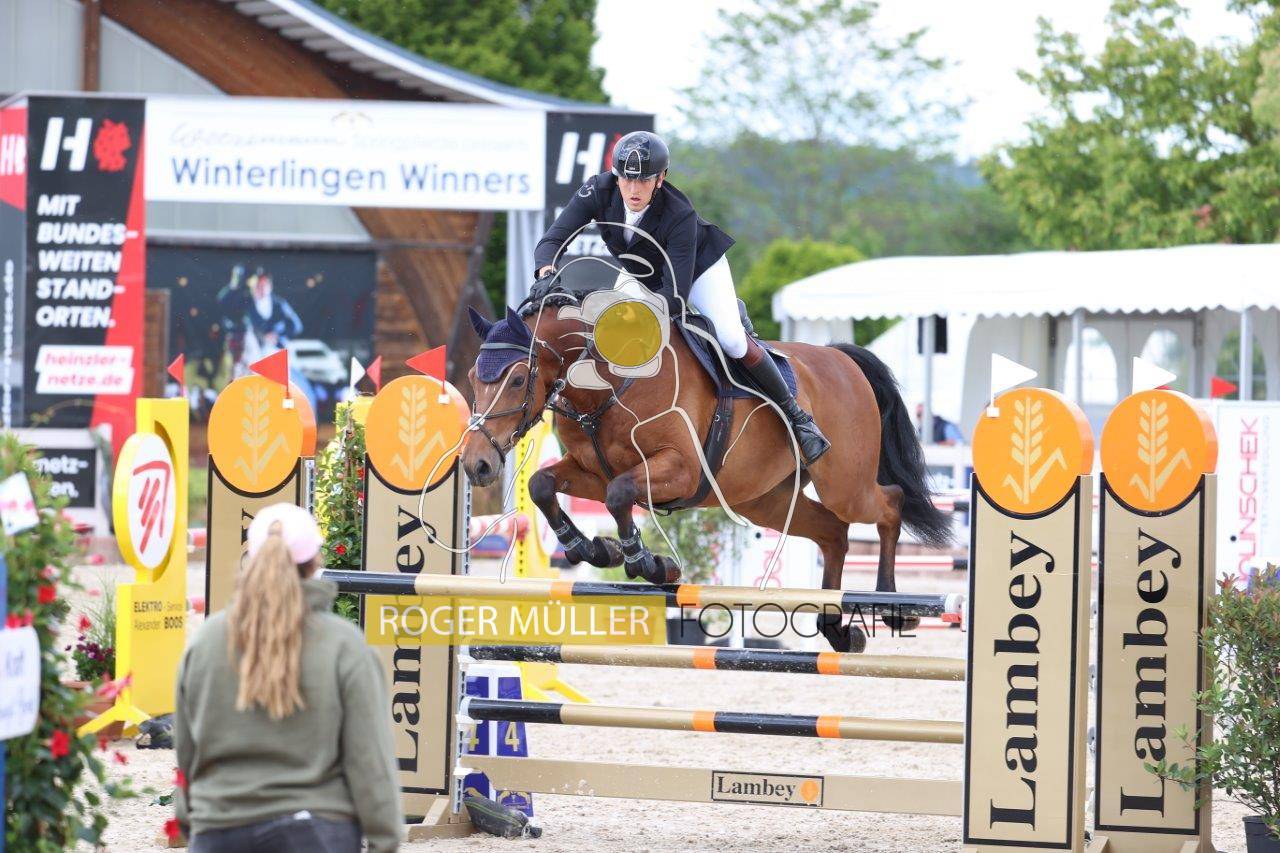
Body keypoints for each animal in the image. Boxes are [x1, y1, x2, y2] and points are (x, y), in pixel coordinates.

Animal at [459, 298, 951, 652]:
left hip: (844, 484)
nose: (475, 464)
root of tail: (841, 358)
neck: (607, 384)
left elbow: (620, 495)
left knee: (889, 504)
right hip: (765, 500)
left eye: (518, 379)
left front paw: (647, 563)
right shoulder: (591, 472)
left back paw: (892, 605)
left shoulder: (679, 469)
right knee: (833, 533)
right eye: (472, 378)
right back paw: (836, 627)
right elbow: (544, 485)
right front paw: (593, 549)